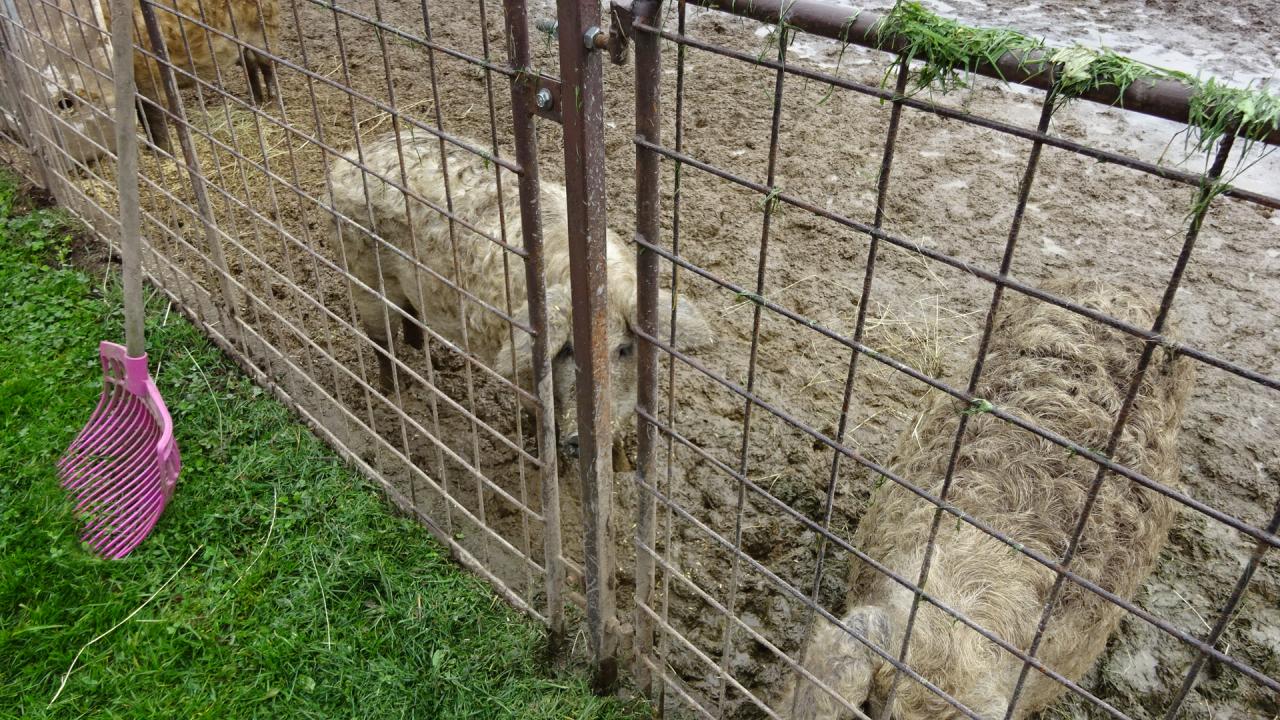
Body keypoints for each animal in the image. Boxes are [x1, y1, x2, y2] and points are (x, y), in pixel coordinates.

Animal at [326, 129, 714, 455]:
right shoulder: (521, 367)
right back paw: (394, 391)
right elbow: (536, 413)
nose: (577, 441)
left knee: (409, 314)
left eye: (624, 350)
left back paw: (425, 356)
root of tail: (345, 160)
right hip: (361, 269)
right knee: (380, 338)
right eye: (567, 350)